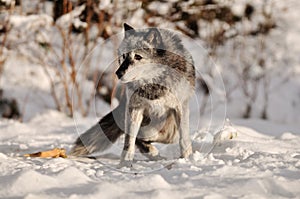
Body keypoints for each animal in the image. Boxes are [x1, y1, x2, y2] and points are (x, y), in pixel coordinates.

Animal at [71, 22, 196, 166]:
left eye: (138, 57)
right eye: (124, 56)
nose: (118, 73)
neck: (153, 85)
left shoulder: (180, 108)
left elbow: (184, 139)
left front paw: (188, 159)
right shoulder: (134, 109)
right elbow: (129, 140)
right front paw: (125, 163)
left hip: (170, 131)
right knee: (139, 136)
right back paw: (153, 153)